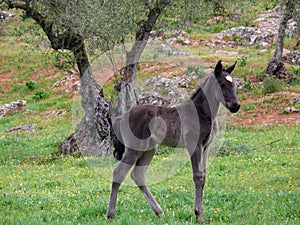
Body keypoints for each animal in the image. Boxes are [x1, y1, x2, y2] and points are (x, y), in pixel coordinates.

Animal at [106, 60, 240, 221]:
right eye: (222, 84)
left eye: (235, 84)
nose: (236, 106)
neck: (202, 113)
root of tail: (123, 116)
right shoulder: (194, 145)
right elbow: (198, 176)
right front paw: (198, 214)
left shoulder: (206, 146)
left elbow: (203, 176)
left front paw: (200, 214)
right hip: (135, 148)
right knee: (119, 173)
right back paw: (111, 214)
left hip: (150, 149)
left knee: (138, 175)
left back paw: (159, 211)